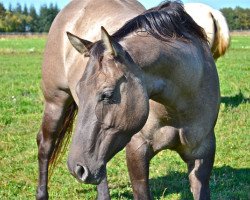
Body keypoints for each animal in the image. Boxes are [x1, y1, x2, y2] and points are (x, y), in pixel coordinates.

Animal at [36, 0, 220, 199]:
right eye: (79, 91)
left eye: (107, 94)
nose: (76, 168)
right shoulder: (136, 152)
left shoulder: (202, 155)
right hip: (56, 102)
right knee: (45, 144)